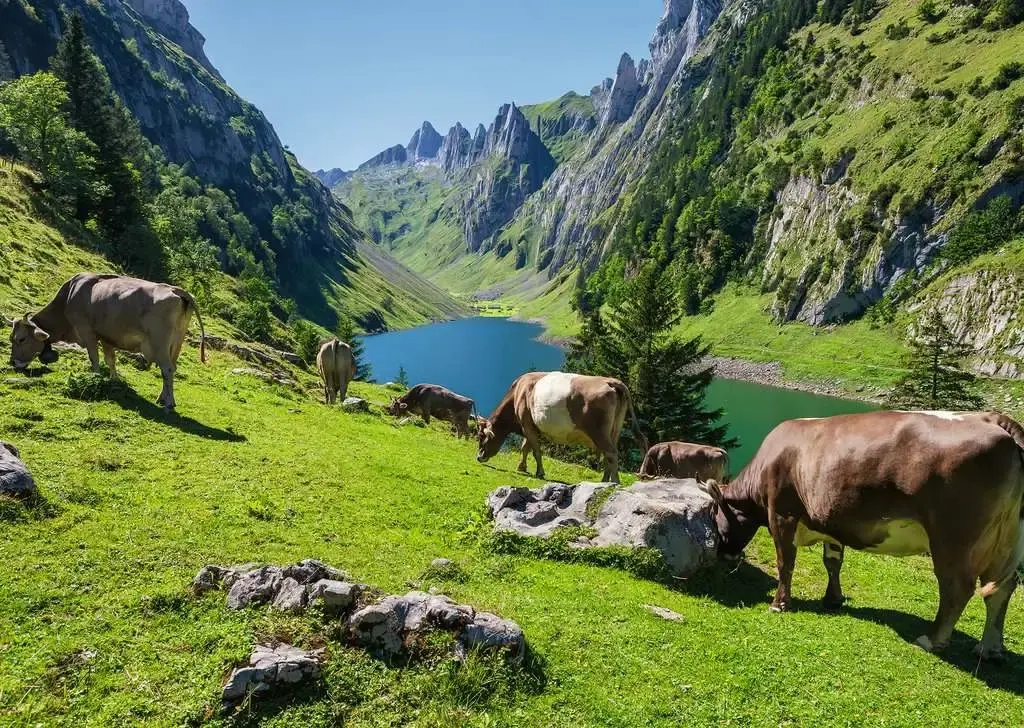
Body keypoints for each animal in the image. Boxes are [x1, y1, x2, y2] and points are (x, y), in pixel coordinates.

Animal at [7, 272, 204, 409]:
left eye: (21, 339)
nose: (13, 363)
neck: (69, 297)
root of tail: (174, 289)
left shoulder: (87, 332)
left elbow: (94, 358)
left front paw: (95, 378)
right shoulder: (107, 338)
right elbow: (110, 360)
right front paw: (113, 381)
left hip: (159, 344)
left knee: (167, 369)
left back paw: (169, 402)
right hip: (176, 344)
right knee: (171, 369)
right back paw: (162, 397)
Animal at [475, 372, 643, 487]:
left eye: (481, 436)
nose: (479, 457)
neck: (518, 392)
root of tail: (610, 380)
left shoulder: (526, 424)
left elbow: (535, 450)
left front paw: (539, 472)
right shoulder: (529, 425)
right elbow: (525, 447)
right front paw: (522, 467)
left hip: (598, 431)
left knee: (611, 453)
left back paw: (614, 483)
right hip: (614, 431)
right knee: (609, 454)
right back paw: (604, 482)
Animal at [704, 409, 1024, 659]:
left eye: (714, 514)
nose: (722, 552)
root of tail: (990, 418)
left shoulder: (782, 514)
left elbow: (786, 563)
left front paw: (779, 604)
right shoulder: (831, 521)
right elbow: (833, 562)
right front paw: (833, 599)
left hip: (954, 536)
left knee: (958, 586)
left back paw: (931, 640)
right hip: (1008, 537)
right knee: (1003, 587)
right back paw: (989, 647)